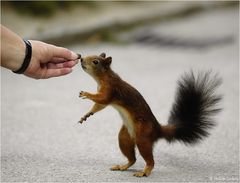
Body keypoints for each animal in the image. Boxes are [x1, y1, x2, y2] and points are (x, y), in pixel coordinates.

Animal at [78, 52, 221, 177]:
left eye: (95, 61)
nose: (81, 59)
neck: (103, 77)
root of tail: (157, 129)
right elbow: (99, 105)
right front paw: (87, 115)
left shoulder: (111, 89)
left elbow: (102, 99)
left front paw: (86, 94)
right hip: (125, 137)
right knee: (132, 158)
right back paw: (123, 166)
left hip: (143, 136)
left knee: (149, 159)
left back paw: (145, 171)